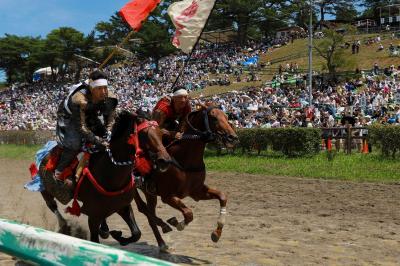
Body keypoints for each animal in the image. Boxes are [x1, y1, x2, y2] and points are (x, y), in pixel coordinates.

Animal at [38, 110, 173, 245]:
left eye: (161, 134)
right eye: (145, 134)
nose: (165, 161)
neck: (110, 175)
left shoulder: (122, 206)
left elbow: (136, 233)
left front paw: (118, 236)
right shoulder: (93, 216)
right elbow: (95, 240)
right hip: (45, 189)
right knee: (52, 205)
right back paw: (65, 225)